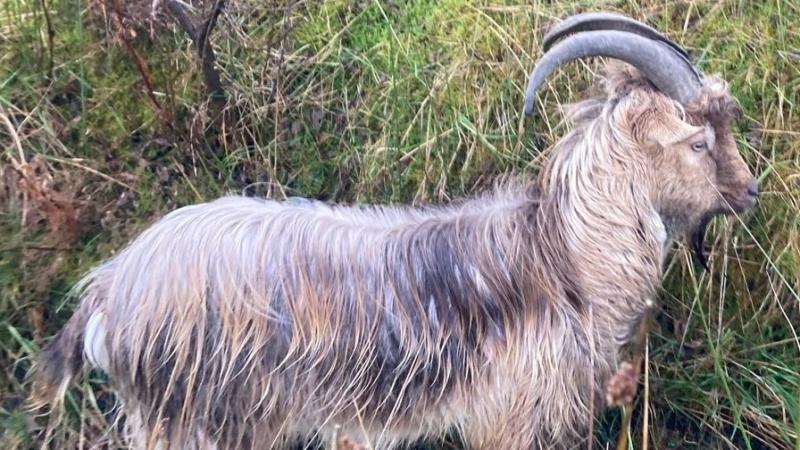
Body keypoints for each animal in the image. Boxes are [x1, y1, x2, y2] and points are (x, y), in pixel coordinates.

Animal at [31, 12, 758, 450]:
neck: (566, 264)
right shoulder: (507, 420)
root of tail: (111, 289)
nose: (750, 192)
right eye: (697, 142)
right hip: (198, 422)